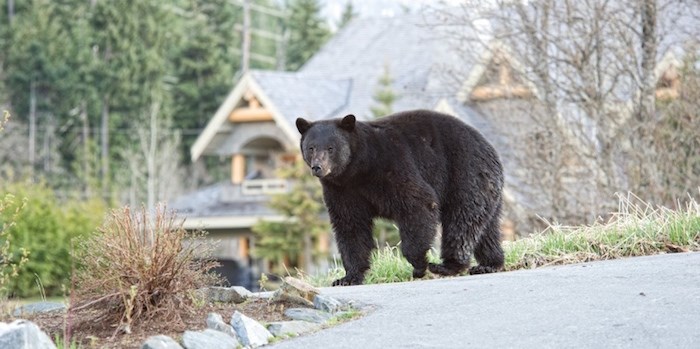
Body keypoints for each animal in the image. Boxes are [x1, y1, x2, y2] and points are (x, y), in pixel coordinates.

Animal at [296, 109, 504, 286]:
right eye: (311, 148)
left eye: (330, 148)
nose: (317, 167)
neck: (358, 168)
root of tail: (490, 148)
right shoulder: (342, 190)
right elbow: (350, 226)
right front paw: (348, 277)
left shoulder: (392, 165)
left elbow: (418, 203)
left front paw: (419, 265)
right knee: (486, 227)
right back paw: (490, 263)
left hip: (465, 174)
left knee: (462, 220)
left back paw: (448, 265)